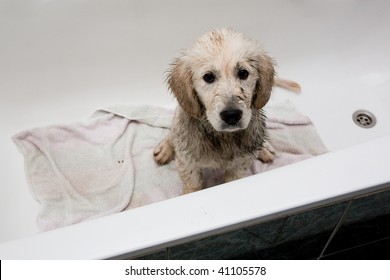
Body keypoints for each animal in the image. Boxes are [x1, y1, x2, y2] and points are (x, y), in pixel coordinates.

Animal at [154, 29, 300, 195]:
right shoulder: (188, 163)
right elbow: (193, 186)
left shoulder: (239, 165)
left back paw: (264, 148)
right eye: (208, 77)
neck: (222, 137)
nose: (231, 115)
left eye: (243, 73)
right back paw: (165, 147)